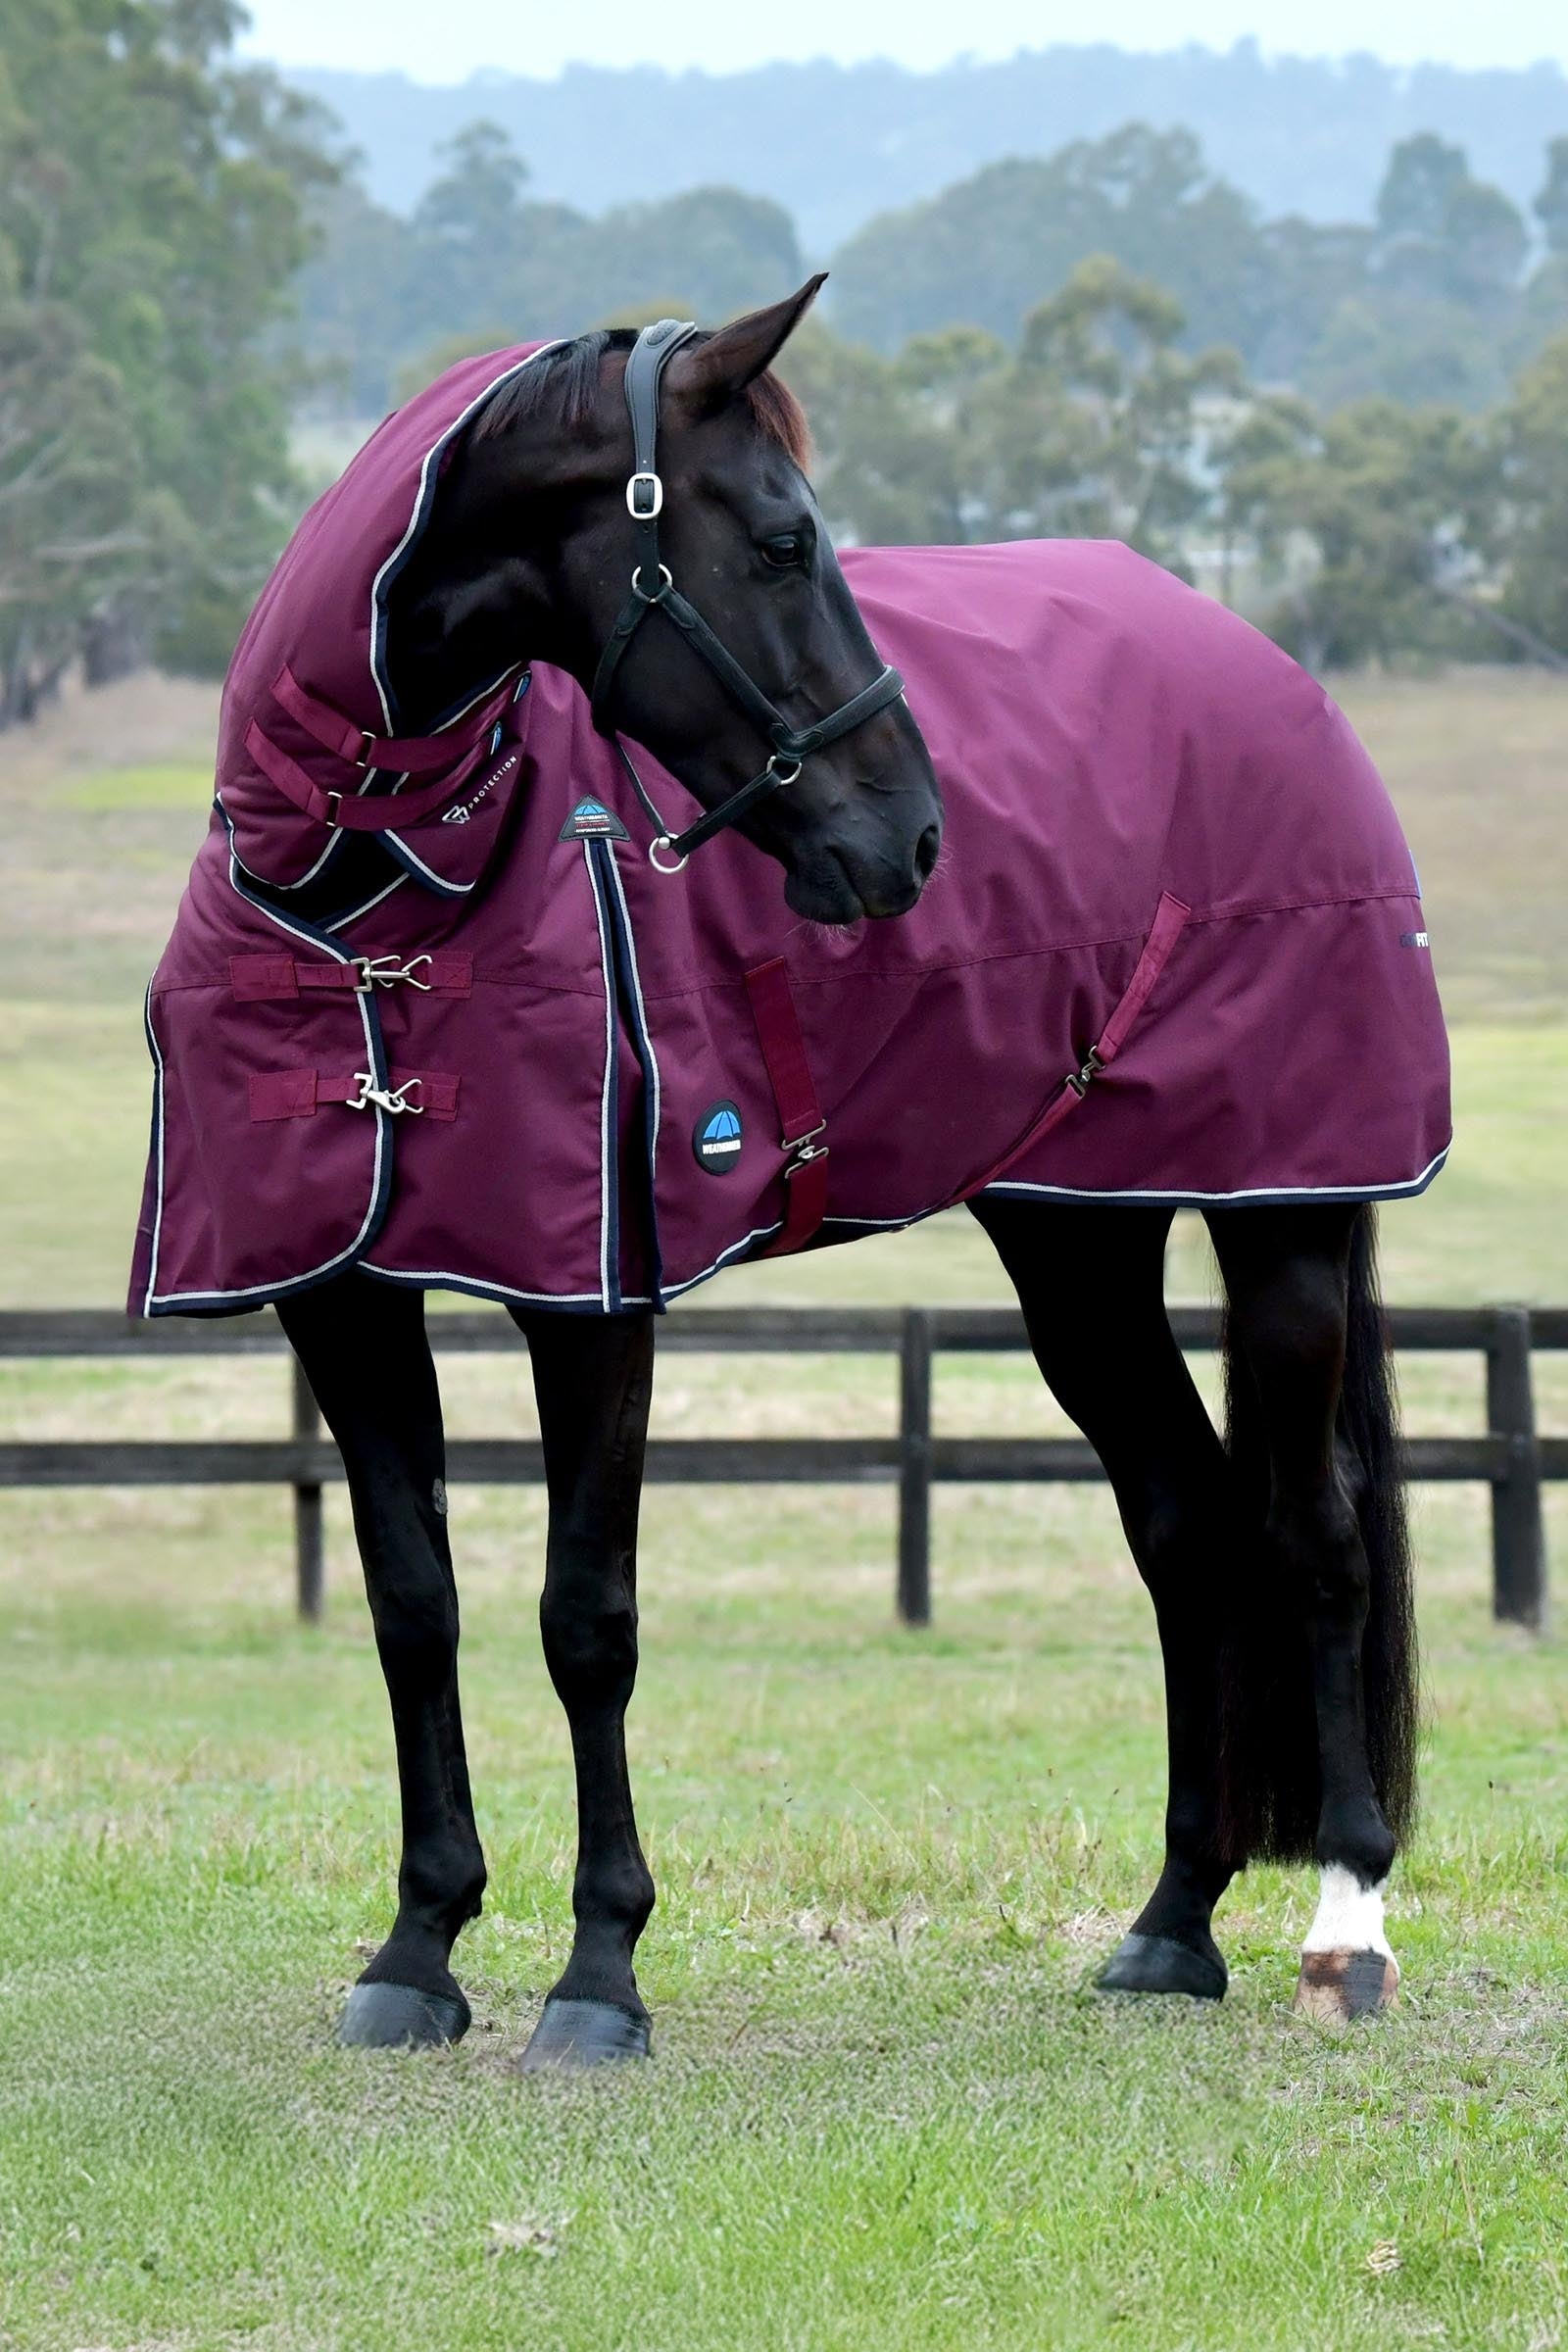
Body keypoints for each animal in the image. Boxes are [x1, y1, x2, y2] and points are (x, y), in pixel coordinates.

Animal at [130, 280, 1447, 2069]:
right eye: (779, 537)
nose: (914, 842)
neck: (375, 890)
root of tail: (1265, 671)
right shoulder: (337, 1297)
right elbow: (414, 1603)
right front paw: (418, 1947)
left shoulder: (593, 1302)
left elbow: (585, 1619)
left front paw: (598, 1974)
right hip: (1078, 1244)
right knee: (1188, 1527)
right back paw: (1172, 1927)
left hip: (1287, 1220)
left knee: (1315, 1539)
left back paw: (1347, 1926)